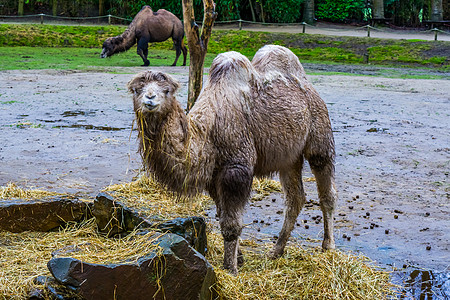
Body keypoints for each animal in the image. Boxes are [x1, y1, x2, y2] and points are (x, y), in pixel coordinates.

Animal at [128, 45, 336, 274]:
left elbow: (231, 225)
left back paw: (328, 246)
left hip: (319, 132)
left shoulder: (236, 168)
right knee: (295, 198)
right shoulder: (213, 176)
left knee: (326, 189)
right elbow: (222, 215)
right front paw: (240, 258)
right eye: (137, 89)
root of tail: (307, 84)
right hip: (289, 157)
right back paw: (276, 251)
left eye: (167, 91)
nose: (150, 99)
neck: (208, 132)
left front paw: (230, 269)